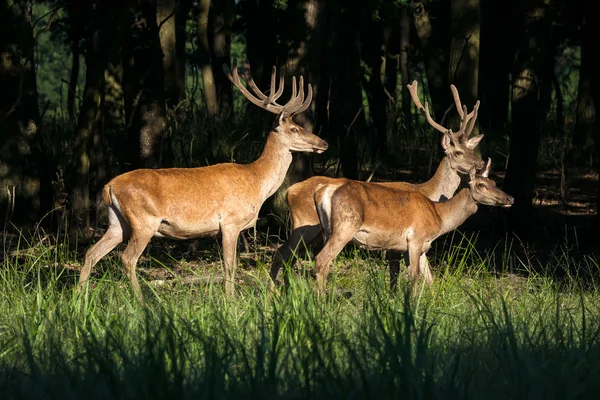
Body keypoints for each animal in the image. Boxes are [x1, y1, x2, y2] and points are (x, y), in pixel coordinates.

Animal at [79, 58, 328, 296]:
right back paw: (141, 302)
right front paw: (230, 301)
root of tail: (109, 186)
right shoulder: (230, 221)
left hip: (118, 223)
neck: (257, 181)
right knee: (127, 259)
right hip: (143, 220)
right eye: (294, 129)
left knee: (91, 253)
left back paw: (80, 298)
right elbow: (229, 265)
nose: (324, 143)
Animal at [270, 81, 486, 288]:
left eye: (471, 149)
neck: (429, 193)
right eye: (458, 152)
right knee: (289, 255)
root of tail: (290, 191)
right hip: (308, 225)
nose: (482, 163)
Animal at [312, 158, 512, 296]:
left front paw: (433, 302)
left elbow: (430, 278)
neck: (439, 218)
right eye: (481, 185)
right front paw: (412, 305)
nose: (510, 198)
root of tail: (322, 191)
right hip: (346, 225)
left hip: (327, 230)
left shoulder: (423, 245)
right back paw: (322, 303)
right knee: (321, 258)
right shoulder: (415, 239)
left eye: (494, 183)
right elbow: (414, 276)